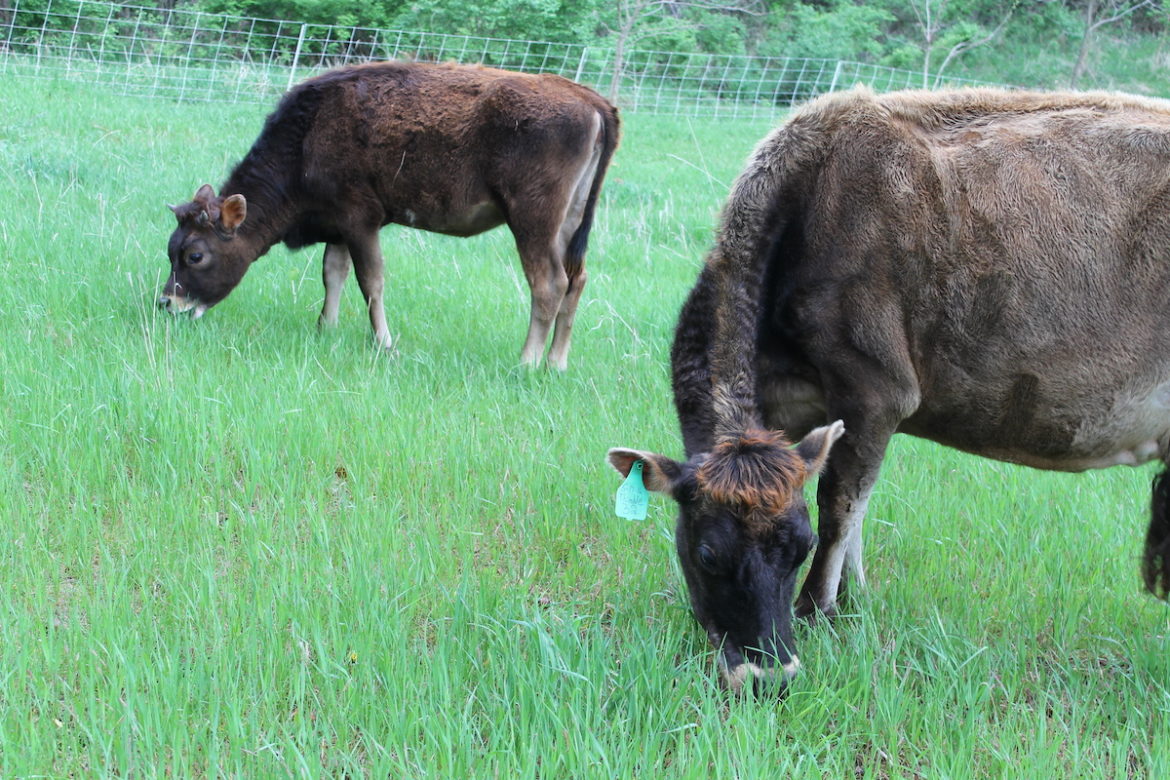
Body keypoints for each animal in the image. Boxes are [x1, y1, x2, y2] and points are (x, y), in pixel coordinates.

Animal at [161, 61, 620, 369]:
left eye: (196, 255)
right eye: (171, 249)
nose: (167, 302)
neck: (308, 135)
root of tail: (592, 101)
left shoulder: (361, 220)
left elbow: (371, 281)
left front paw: (383, 342)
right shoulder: (338, 226)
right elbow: (333, 274)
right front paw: (325, 328)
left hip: (533, 221)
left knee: (549, 284)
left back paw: (526, 362)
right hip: (570, 223)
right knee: (576, 281)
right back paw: (556, 363)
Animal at [608, 86, 1170, 694]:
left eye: (800, 548)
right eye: (708, 554)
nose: (770, 674)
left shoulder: (876, 388)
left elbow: (840, 503)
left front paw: (819, 609)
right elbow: (855, 500)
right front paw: (853, 600)